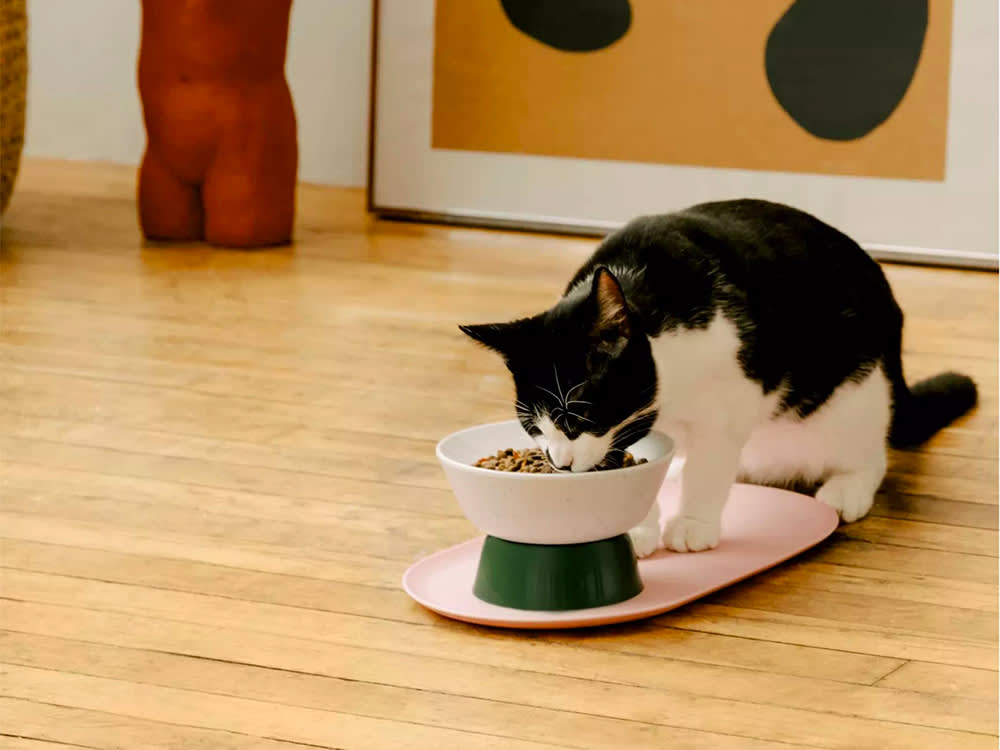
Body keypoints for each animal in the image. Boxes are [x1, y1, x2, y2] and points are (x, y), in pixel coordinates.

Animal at [460, 200, 976, 560]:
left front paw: (691, 524)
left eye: (573, 417)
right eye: (533, 427)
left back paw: (847, 488)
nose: (559, 463)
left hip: (857, 395)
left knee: (869, 452)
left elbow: (707, 469)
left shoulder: (727, 406)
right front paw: (636, 527)